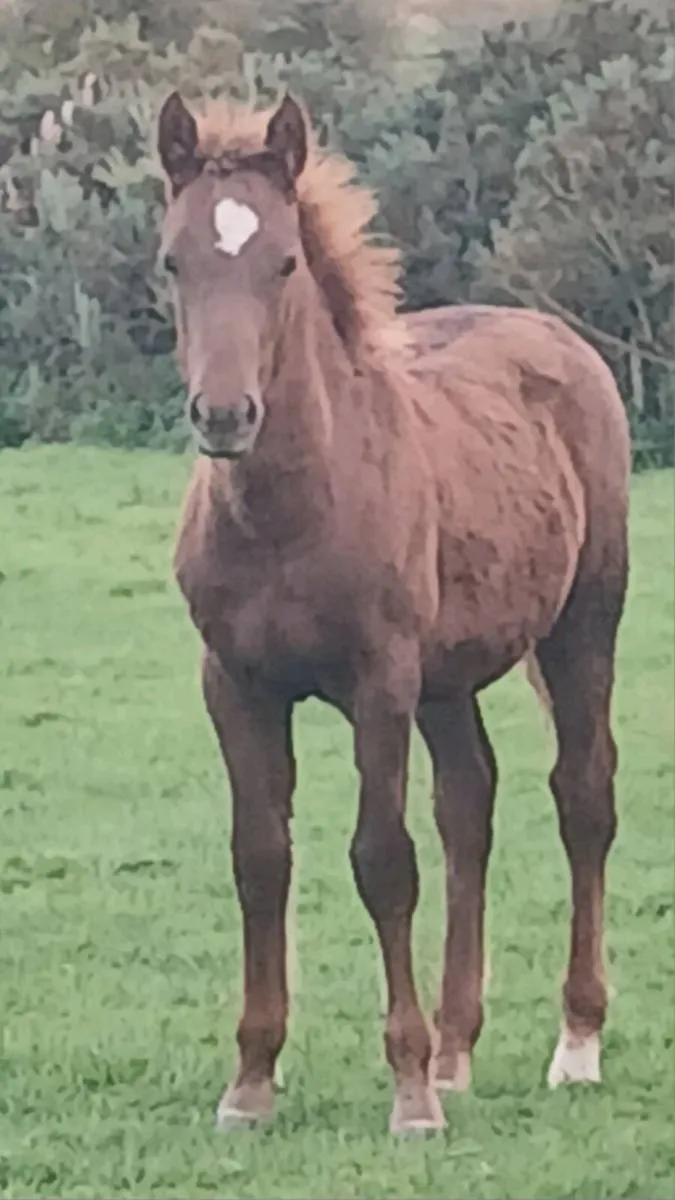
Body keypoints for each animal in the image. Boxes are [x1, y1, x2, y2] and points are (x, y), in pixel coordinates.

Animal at [156, 90, 630, 1135]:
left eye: (284, 262)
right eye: (173, 261)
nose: (224, 416)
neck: (293, 513)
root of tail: (560, 339)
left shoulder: (378, 683)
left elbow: (382, 860)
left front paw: (408, 1095)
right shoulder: (231, 685)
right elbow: (260, 858)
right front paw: (250, 1083)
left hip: (581, 627)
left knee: (581, 796)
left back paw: (572, 1046)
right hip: (446, 677)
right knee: (470, 802)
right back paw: (458, 1050)